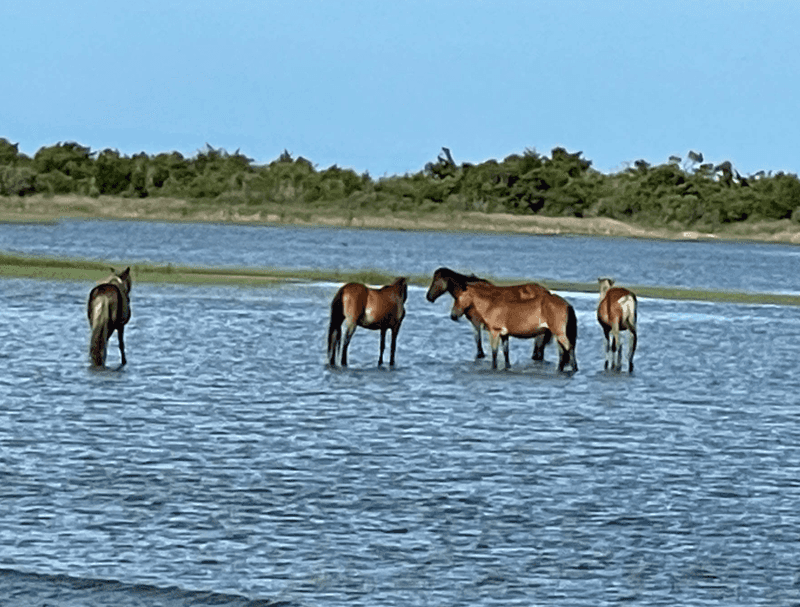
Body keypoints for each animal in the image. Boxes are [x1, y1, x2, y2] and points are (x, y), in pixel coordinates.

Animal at [450, 281, 578, 372]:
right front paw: (507, 367)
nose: (453, 316)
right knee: (562, 351)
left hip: (559, 333)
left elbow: (494, 352)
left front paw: (494, 368)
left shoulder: (494, 332)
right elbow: (506, 352)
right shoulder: (504, 334)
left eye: (458, 297)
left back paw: (574, 369)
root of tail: (566, 304)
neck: (491, 305)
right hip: (557, 334)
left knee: (570, 348)